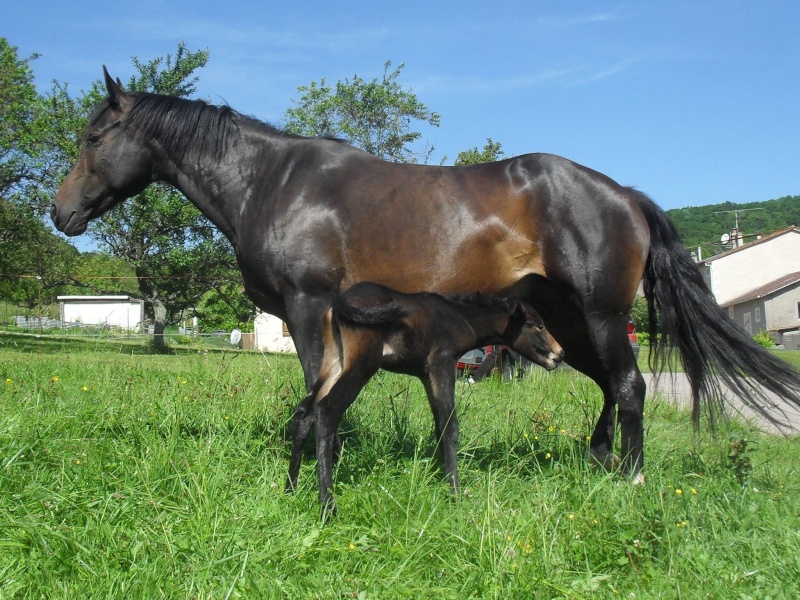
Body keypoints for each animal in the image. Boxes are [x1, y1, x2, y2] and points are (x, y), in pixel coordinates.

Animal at [51, 70, 800, 482]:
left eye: (93, 138)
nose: (60, 212)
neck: (274, 181)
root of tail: (626, 195)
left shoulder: (309, 308)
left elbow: (316, 395)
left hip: (600, 316)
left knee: (631, 386)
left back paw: (632, 481)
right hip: (560, 327)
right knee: (608, 388)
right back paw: (599, 462)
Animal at [288, 282, 564, 510]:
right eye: (538, 325)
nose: (560, 353)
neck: (459, 316)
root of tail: (340, 302)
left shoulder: (426, 374)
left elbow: (439, 425)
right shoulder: (443, 363)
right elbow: (450, 425)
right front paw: (455, 494)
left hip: (335, 363)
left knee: (304, 414)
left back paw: (290, 488)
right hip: (363, 363)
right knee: (326, 411)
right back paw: (327, 505)